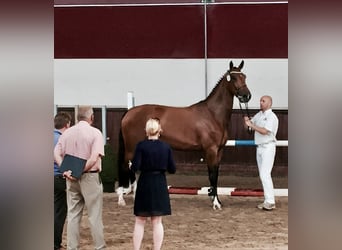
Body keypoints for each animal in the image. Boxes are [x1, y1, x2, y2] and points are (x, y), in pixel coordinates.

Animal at [117, 60, 251, 209]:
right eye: (233, 78)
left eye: (244, 76)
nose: (246, 96)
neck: (212, 114)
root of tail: (129, 112)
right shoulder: (211, 149)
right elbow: (212, 175)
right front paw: (216, 203)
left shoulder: (219, 150)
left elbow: (215, 174)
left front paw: (216, 199)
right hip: (131, 149)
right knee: (125, 167)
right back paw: (122, 199)